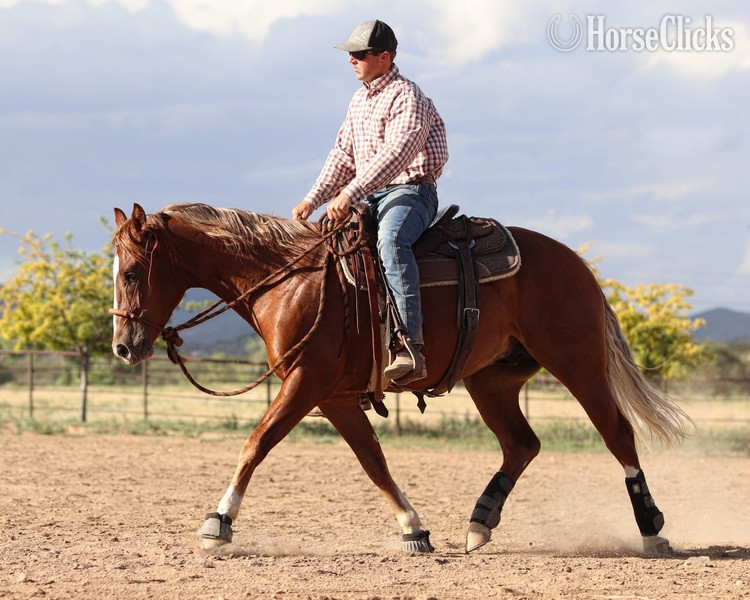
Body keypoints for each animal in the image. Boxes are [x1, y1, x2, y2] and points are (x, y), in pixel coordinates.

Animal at [110, 202, 689, 555]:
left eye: (133, 272)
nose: (122, 346)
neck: (290, 281)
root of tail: (577, 264)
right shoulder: (335, 397)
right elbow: (374, 461)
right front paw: (413, 529)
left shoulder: (305, 383)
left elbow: (256, 443)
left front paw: (218, 523)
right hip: (493, 381)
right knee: (522, 444)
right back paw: (479, 523)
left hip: (577, 363)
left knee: (618, 434)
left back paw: (652, 532)